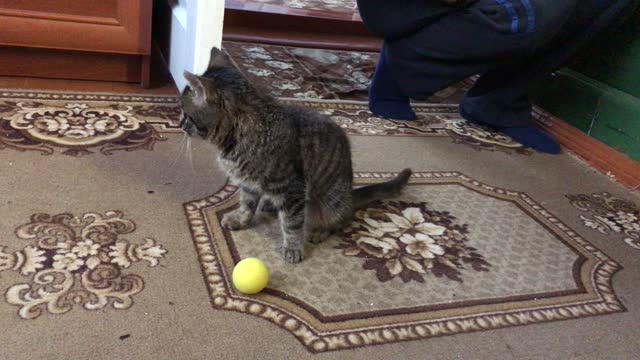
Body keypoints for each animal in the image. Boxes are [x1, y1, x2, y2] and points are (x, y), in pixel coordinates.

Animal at [180, 47, 410, 262]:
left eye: (185, 113)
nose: (180, 123)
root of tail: (350, 194)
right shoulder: (248, 183)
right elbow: (246, 204)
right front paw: (240, 219)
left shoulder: (292, 188)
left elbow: (291, 224)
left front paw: (292, 247)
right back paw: (269, 204)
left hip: (331, 201)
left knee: (340, 218)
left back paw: (320, 230)